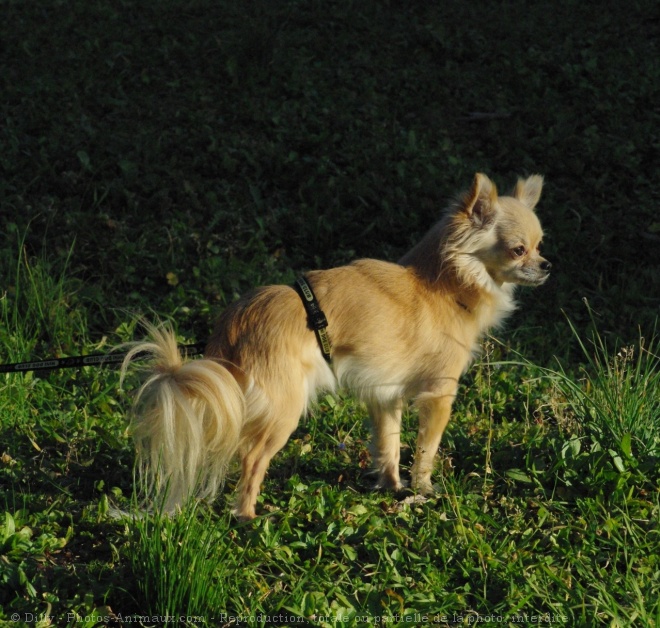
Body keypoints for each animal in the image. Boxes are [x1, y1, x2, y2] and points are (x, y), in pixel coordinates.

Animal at [121, 173, 548, 520]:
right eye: (518, 250)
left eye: (541, 245)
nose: (547, 265)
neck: (445, 282)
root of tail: (232, 324)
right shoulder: (439, 394)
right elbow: (426, 449)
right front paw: (423, 489)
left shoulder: (385, 394)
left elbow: (389, 443)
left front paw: (391, 487)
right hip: (284, 408)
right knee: (252, 459)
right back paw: (248, 516)